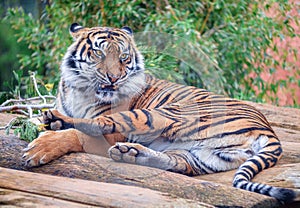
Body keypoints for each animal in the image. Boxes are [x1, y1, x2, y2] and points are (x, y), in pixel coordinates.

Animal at [21, 23, 296, 203]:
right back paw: (130, 154)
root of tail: (267, 128)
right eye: (99, 53)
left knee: (101, 123)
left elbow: (79, 135)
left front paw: (40, 148)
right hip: (204, 156)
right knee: (177, 164)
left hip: (163, 113)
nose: (114, 78)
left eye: (124, 57)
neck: (81, 90)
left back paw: (58, 121)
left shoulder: (115, 131)